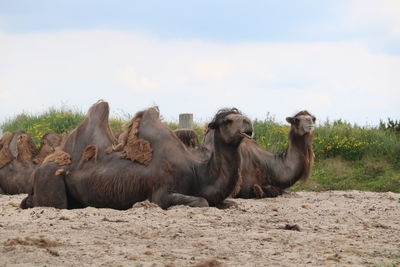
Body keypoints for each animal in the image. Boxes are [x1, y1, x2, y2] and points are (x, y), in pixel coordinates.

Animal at [20, 101, 252, 210]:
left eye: (242, 116)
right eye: (227, 121)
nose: (248, 123)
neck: (198, 172)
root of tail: (34, 176)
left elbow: (231, 203)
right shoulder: (161, 193)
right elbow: (201, 201)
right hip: (51, 181)